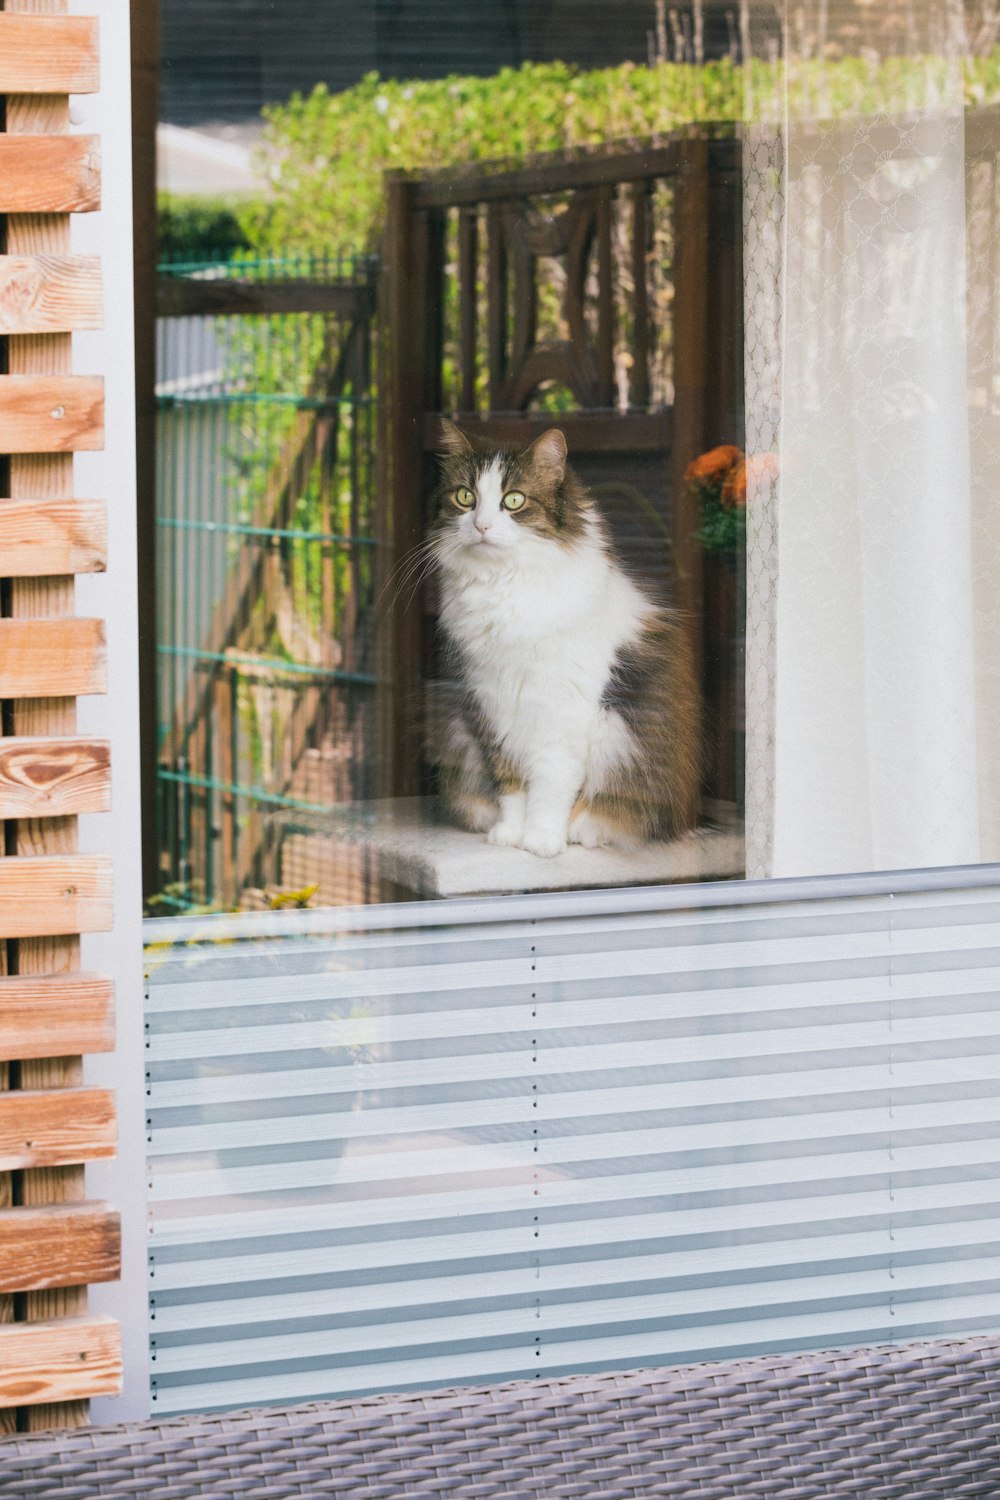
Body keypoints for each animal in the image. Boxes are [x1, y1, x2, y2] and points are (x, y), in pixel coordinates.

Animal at [425, 423, 701, 864]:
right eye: (465, 497)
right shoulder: (491, 704)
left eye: (513, 500)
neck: (506, 587)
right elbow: (511, 784)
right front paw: (511, 833)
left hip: (618, 739)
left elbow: (551, 786)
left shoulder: (563, 714)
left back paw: (582, 830)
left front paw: (541, 839)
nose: (482, 526)